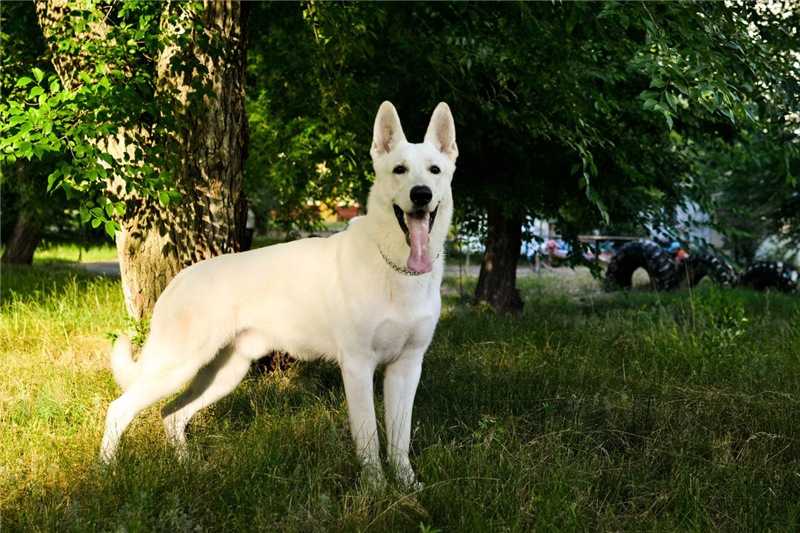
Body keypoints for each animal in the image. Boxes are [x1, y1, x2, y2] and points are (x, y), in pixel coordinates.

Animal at [101, 101, 456, 486]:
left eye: (435, 170)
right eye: (399, 170)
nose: (421, 194)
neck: (394, 266)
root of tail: (181, 278)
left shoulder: (406, 368)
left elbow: (399, 440)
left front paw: (406, 485)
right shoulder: (358, 367)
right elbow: (369, 440)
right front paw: (376, 488)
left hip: (224, 374)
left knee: (172, 414)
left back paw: (187, 468)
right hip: (177, 366)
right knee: (119, 409)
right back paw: (104, 474)